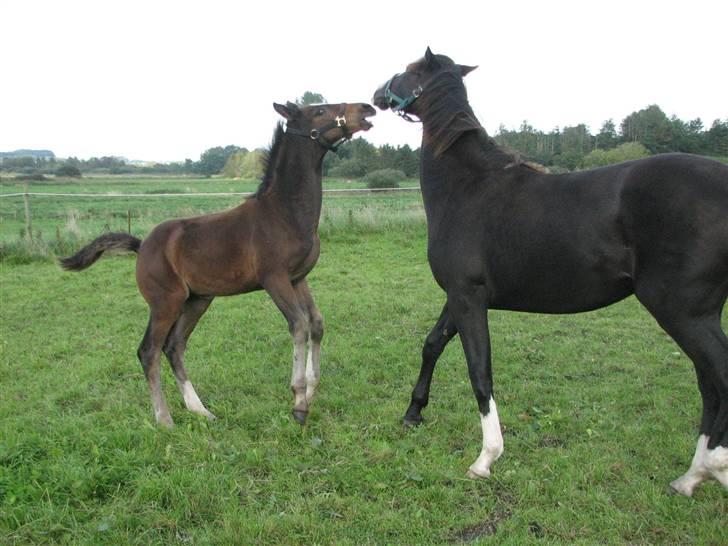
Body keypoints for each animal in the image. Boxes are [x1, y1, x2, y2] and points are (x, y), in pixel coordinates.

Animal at [61, 101, 376, 424]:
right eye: (320, 111)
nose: (367, 109)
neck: (284, 212)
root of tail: (142, 245)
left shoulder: (298, 278)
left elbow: (316, 324)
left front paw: (311, 392)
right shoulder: (274, 279)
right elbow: (299, 325)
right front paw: (299, 402)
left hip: (198, 300)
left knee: (174, 346)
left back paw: (200, 410)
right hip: (165, 302)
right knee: (149, 350)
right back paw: (164, 419)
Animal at [376, 49, 728, 496]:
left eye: (408, 71)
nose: (377, 93)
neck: (468, 188)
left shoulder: (468, 297)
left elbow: (479, 370)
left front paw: (486, 458)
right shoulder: (457, 296)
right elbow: (432, 344)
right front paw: (413, 413)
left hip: (685, 314)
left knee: (720, 380)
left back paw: (713, 466)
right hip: (695, 317)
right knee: (709, 387)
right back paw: (691, 476)